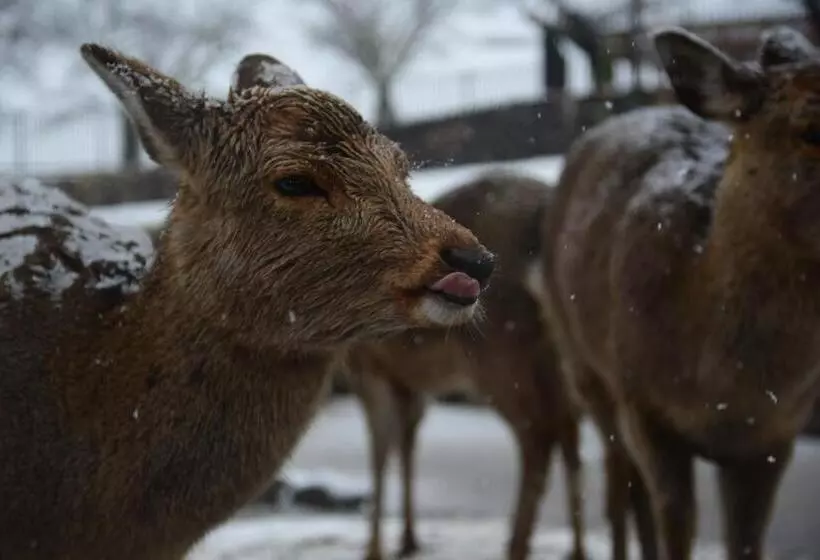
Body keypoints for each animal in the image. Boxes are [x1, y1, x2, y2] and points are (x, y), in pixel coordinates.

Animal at [344, 173, 586, 560]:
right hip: (558, 356)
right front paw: (408, 538)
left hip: (502, 354)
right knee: (568, 431)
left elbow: (380, 450)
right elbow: (407, 442)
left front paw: (374, 548)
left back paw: (516, 544)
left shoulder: (367, 367)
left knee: (538, 435)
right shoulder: (409, 380)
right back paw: (575, 548)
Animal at [536, 24, 820, 560]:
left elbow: (746, 541)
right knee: (621, 488)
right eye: (809, 128)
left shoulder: (778, 435)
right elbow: (676, 524)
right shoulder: (645, 408)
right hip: (584, 367)